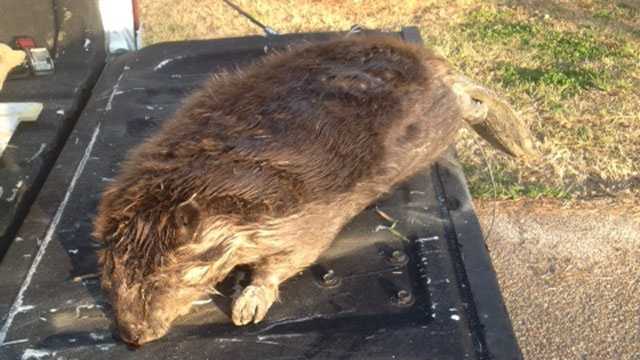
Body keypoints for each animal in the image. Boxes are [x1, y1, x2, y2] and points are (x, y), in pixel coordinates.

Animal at [92, 34, 536, 346]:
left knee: (466, 101)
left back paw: (514, 137)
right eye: (111, 274)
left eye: (164, 277)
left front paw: (248, 302)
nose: (133, 335)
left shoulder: (303, 213)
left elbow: (292, 257)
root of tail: (434, 64)